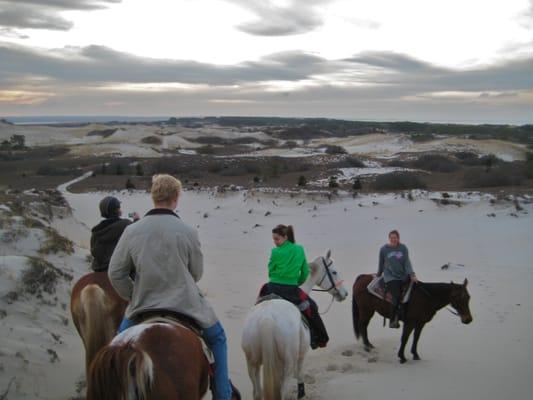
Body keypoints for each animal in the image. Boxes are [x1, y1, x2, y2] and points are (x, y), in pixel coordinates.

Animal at [242, 250, 350, 400]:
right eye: (334, 272)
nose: (345, 293)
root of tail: (267, 318)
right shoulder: (301, 356)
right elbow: (299, 374)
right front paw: (301, 393)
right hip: (288, 363)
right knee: (282, 391)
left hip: (252, 364)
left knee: (257, 393)